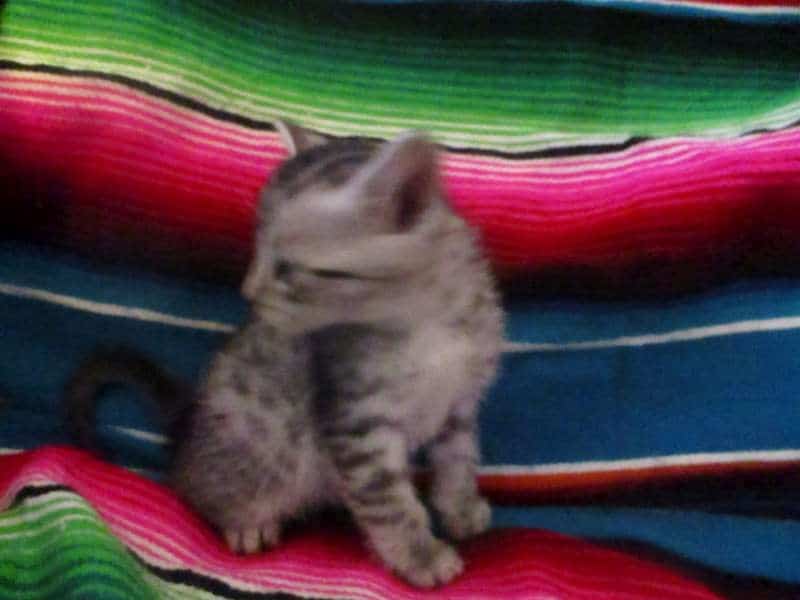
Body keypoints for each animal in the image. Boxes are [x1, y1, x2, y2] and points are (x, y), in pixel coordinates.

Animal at [65, 122, 504, 588]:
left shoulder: (459, 403)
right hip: (258, 450)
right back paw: (244, 522)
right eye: (257, 249)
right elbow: (389, 503)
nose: (248, 292)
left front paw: (460, 509)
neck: (427, 321)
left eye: (288, 268)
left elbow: (458, 459)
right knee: (192, 486)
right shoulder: (355, 421)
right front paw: (421, 556)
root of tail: (186, 421)